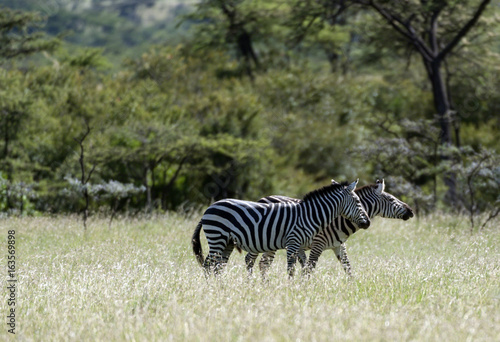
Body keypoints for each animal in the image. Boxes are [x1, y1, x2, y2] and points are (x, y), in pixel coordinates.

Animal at [191, 179, 372, 278]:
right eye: (358, 202)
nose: (368, 223)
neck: (309, 215)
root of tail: (209, 208)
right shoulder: (293, 242)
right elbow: (291, 268)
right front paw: (291, 289)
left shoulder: (300, 245)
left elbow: (303, 266)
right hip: (217, 237)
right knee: (208, 265)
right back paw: (211, 290)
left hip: (227, 242)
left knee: (218, 267)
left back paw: (220, 288)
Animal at [246, 179, 414, 276]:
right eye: (391, 199)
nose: (411, 211)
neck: (339, 220)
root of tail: (262, 198)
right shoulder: (318, 244)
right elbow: (309, 268)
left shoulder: (339, 246)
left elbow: (348, 268)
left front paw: (353, 289)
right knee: (252, 260)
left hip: (269, 243)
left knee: (263, 264)